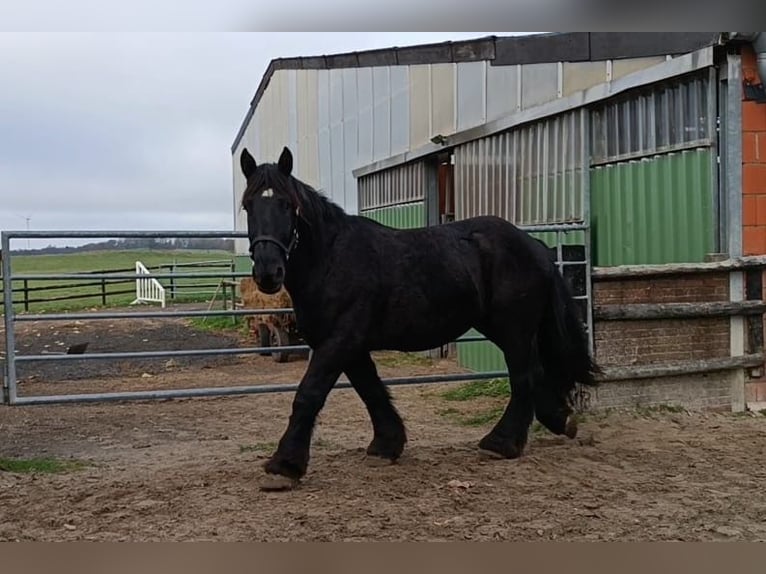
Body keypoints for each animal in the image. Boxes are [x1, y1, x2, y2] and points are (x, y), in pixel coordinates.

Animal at [240, 147, 600, 490]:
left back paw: (501, 443)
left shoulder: (339, 341)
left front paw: (284, 466)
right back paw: (558, 419)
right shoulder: (349, 346)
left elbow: (309, 394)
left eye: (288, 204)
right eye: (248, 206)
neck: (332, 259)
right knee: (537, 372)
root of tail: (534, 245)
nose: (268, 273)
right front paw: (385, 446)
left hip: (515, 328)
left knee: (525, 375)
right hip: (501, 327)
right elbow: (370, 390)